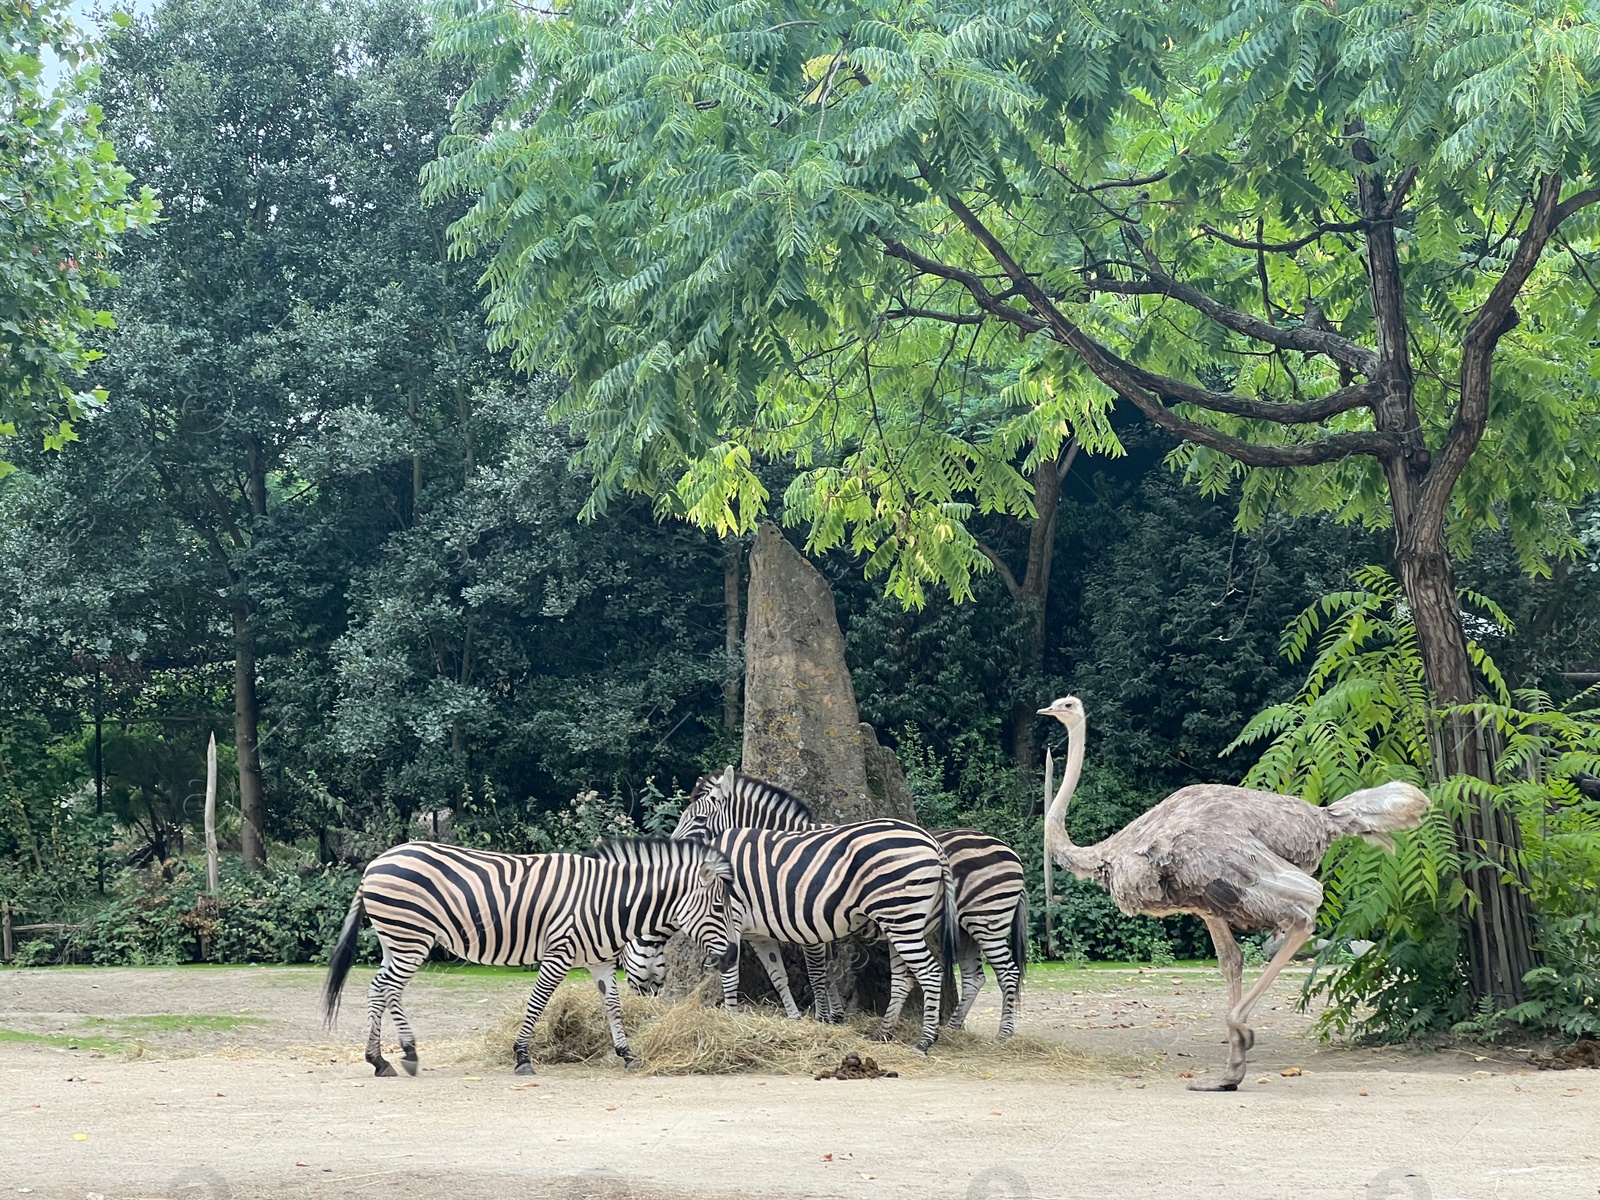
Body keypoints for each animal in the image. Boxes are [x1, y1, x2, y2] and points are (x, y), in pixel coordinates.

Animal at [324, 838, 736, 1081]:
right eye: (719, 907)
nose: (733, 955)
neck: (606, 900)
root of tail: (374, 864)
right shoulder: (559, 952)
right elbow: (538, 1002)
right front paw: (522, 1056)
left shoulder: (601, 961)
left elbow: (614, 1007)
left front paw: (627, 1054)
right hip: (411, 937)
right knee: (384, 988)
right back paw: (387, 1058)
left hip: (398, 940)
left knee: (385, 990)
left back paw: (394, 1056)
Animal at [624, 825, 947, 1056]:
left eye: (623, 962)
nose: (635, 1002)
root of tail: (932, 841)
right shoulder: (757, 934)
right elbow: (778, 976)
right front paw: (794, 1019)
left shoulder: (733, 924)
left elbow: (731, 975)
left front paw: (730, 1019)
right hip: (900, 922)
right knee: (904, 978)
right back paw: (884, 1032)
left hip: (901, 917)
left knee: (931, 972)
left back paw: (925, 1042)